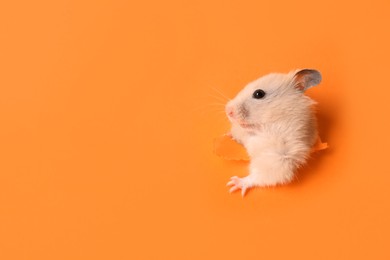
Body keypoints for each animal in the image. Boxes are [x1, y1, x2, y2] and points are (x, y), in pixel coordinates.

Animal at [224, 68, 322, 196]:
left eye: (259, 93)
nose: (228, 110)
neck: (263, 127)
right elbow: (238, 132)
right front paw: (228, 134)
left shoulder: (281, 157)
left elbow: (260, 175)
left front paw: (234, 184)